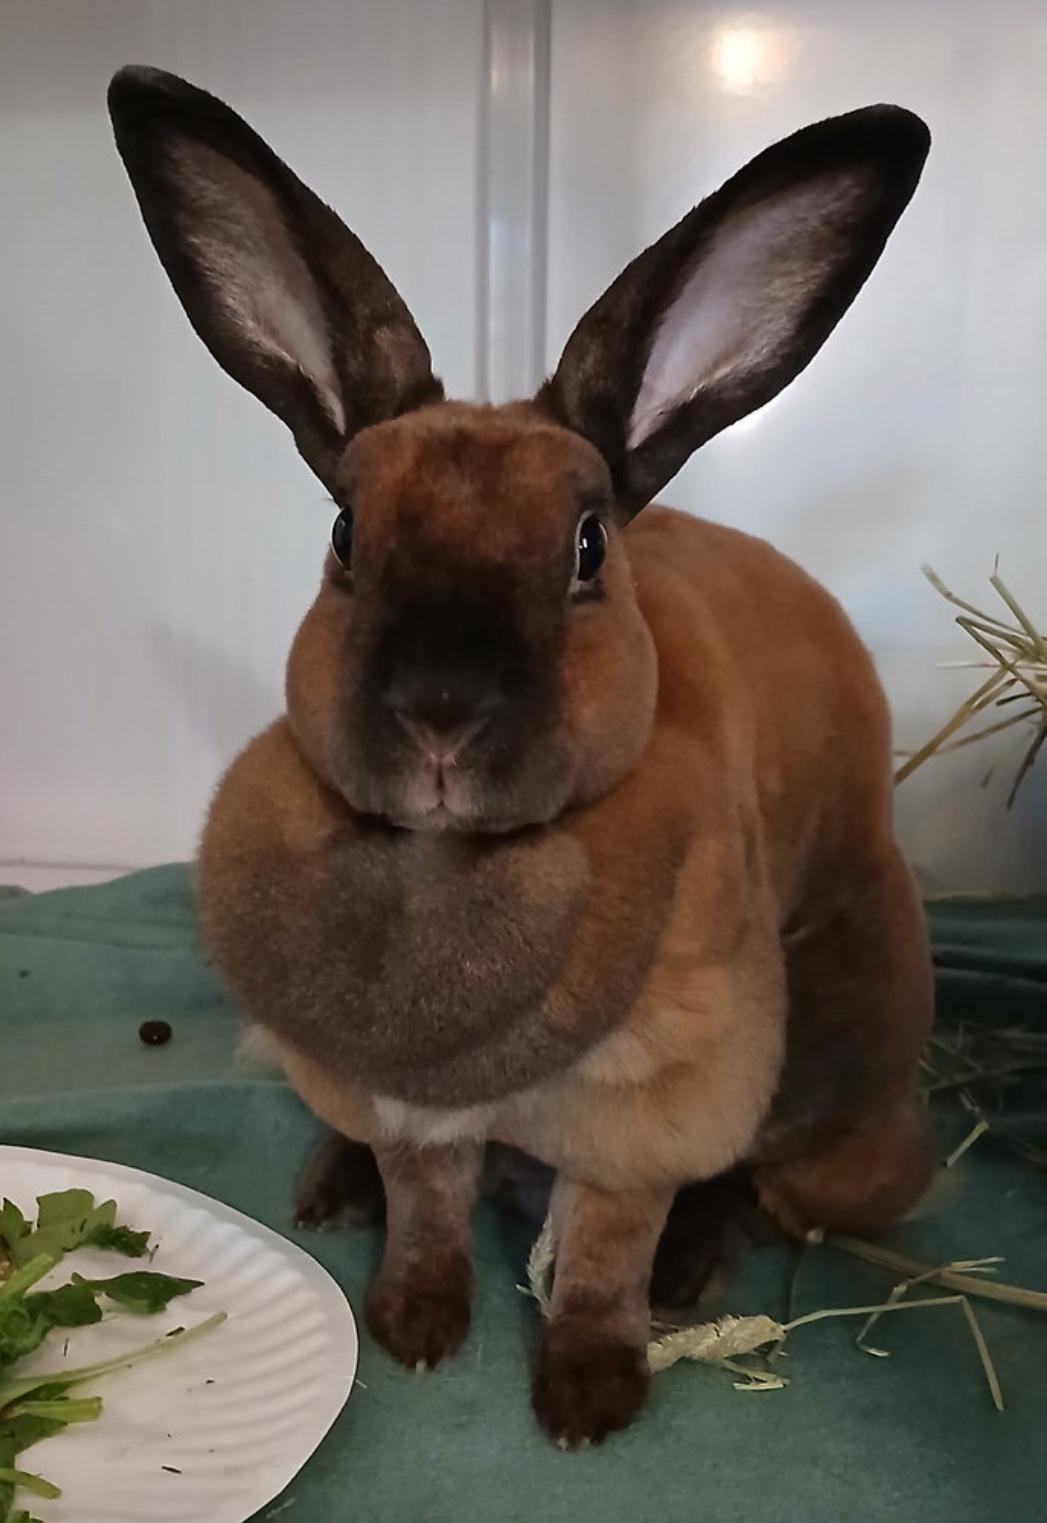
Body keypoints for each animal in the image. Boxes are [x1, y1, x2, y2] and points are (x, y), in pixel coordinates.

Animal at [108, 66, 934, 1446]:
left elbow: (605, 1243)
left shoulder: (654, 1109)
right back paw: (329, 1190)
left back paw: (694, 1268)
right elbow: (427, 1204)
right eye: (345, 533)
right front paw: (414, 1324)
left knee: (753, 1180)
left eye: (588, 546)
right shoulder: (400, 1102)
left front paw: (590, 1394)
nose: (441, 710)